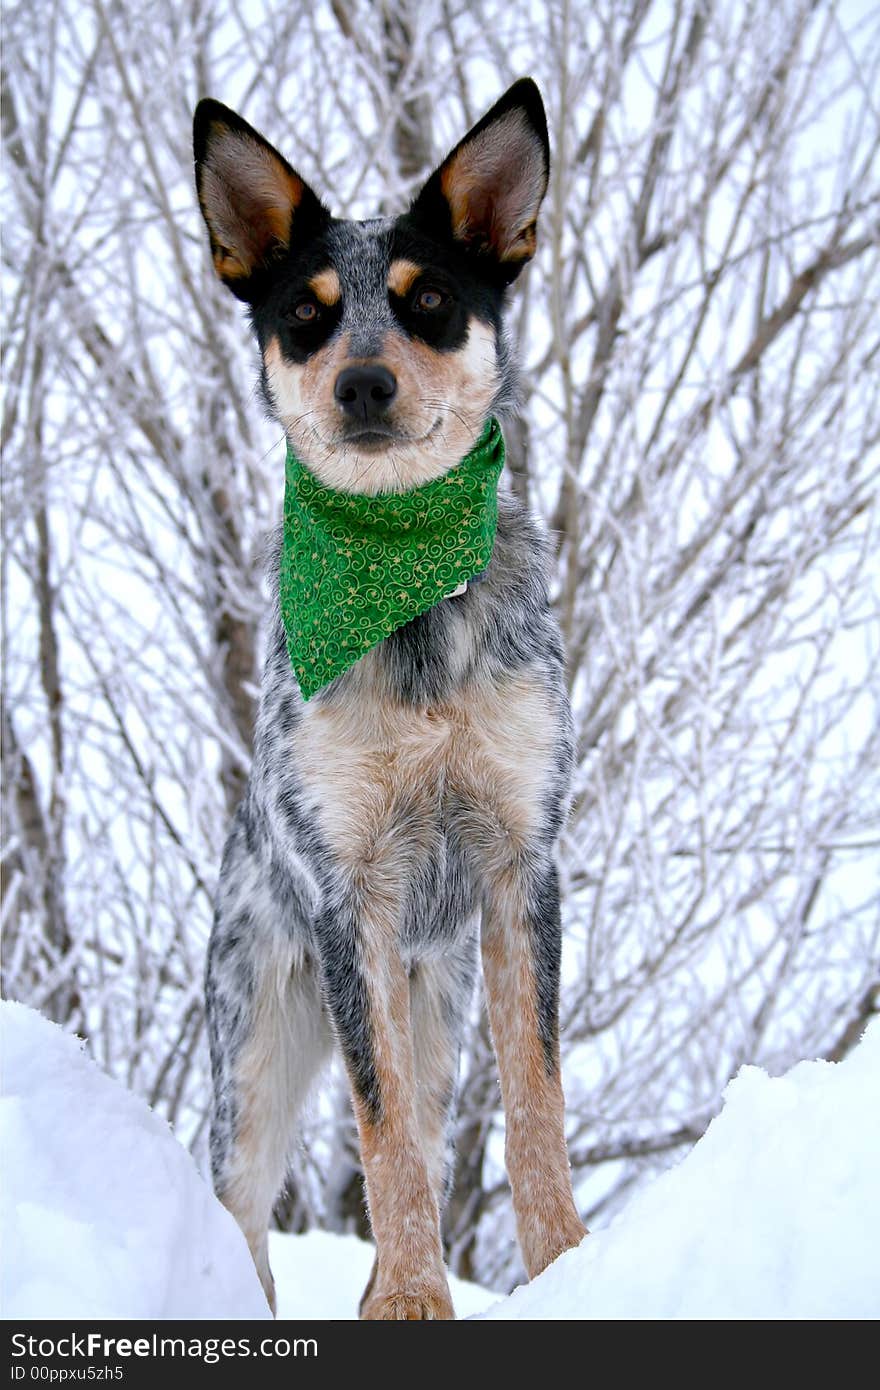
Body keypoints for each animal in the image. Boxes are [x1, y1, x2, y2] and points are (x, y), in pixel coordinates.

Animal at [196, 78, 586, 1323]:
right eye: (306, 315)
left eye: (429, 303)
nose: (363, 382)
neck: (400, 593)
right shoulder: (346, 895)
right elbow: (384, 1138)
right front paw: (414, 1296)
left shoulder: (522, 866)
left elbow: (535, 1103)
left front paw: (568, 1264)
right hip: (259, 1033)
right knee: (242, 1198)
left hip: (435, 997)